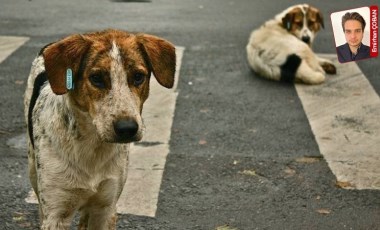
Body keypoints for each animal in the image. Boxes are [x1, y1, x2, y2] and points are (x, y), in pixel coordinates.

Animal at [24, 29, 176, 229]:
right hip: (33, 168)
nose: (127, 128)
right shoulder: (57, 214)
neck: (92, 145)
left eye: (138, 76)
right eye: (96, 78)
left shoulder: (106, 207)